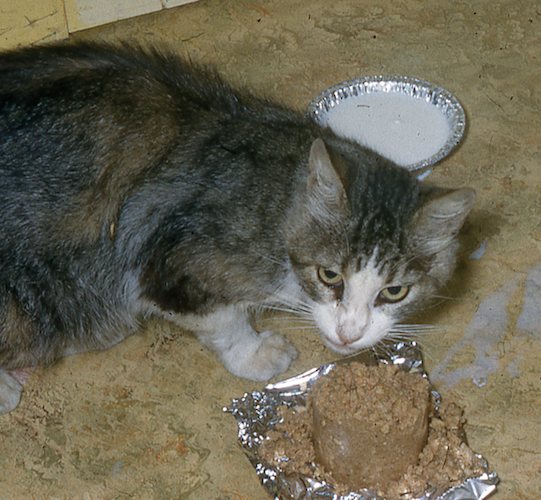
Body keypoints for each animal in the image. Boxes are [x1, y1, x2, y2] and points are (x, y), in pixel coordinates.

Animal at [0, 42, 475, 414]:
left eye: (395, 292)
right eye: (329, 275)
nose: (349, 333)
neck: (279, 205)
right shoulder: (171, 262)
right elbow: (222, 320)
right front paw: (254, 352)